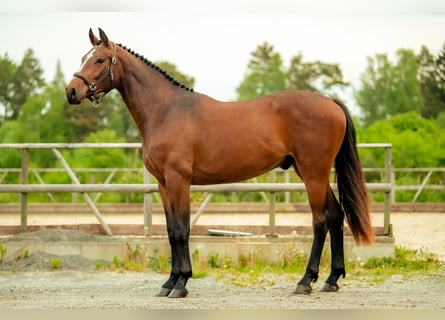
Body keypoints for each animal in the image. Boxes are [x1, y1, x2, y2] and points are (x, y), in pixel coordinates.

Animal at [64, 27, 372, 298]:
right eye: (82, 57)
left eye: (100, 59)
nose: (71, 91)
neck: (167, 111)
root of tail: (330, 102)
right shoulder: (163, 183)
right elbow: (170, 230)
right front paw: (169, 282)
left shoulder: (179, 180)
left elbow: (182, 229)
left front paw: (181, 284)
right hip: (310, 173)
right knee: (336, 215)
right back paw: (332, 279)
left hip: (313, 173)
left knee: (320, 220)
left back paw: (305, 281)